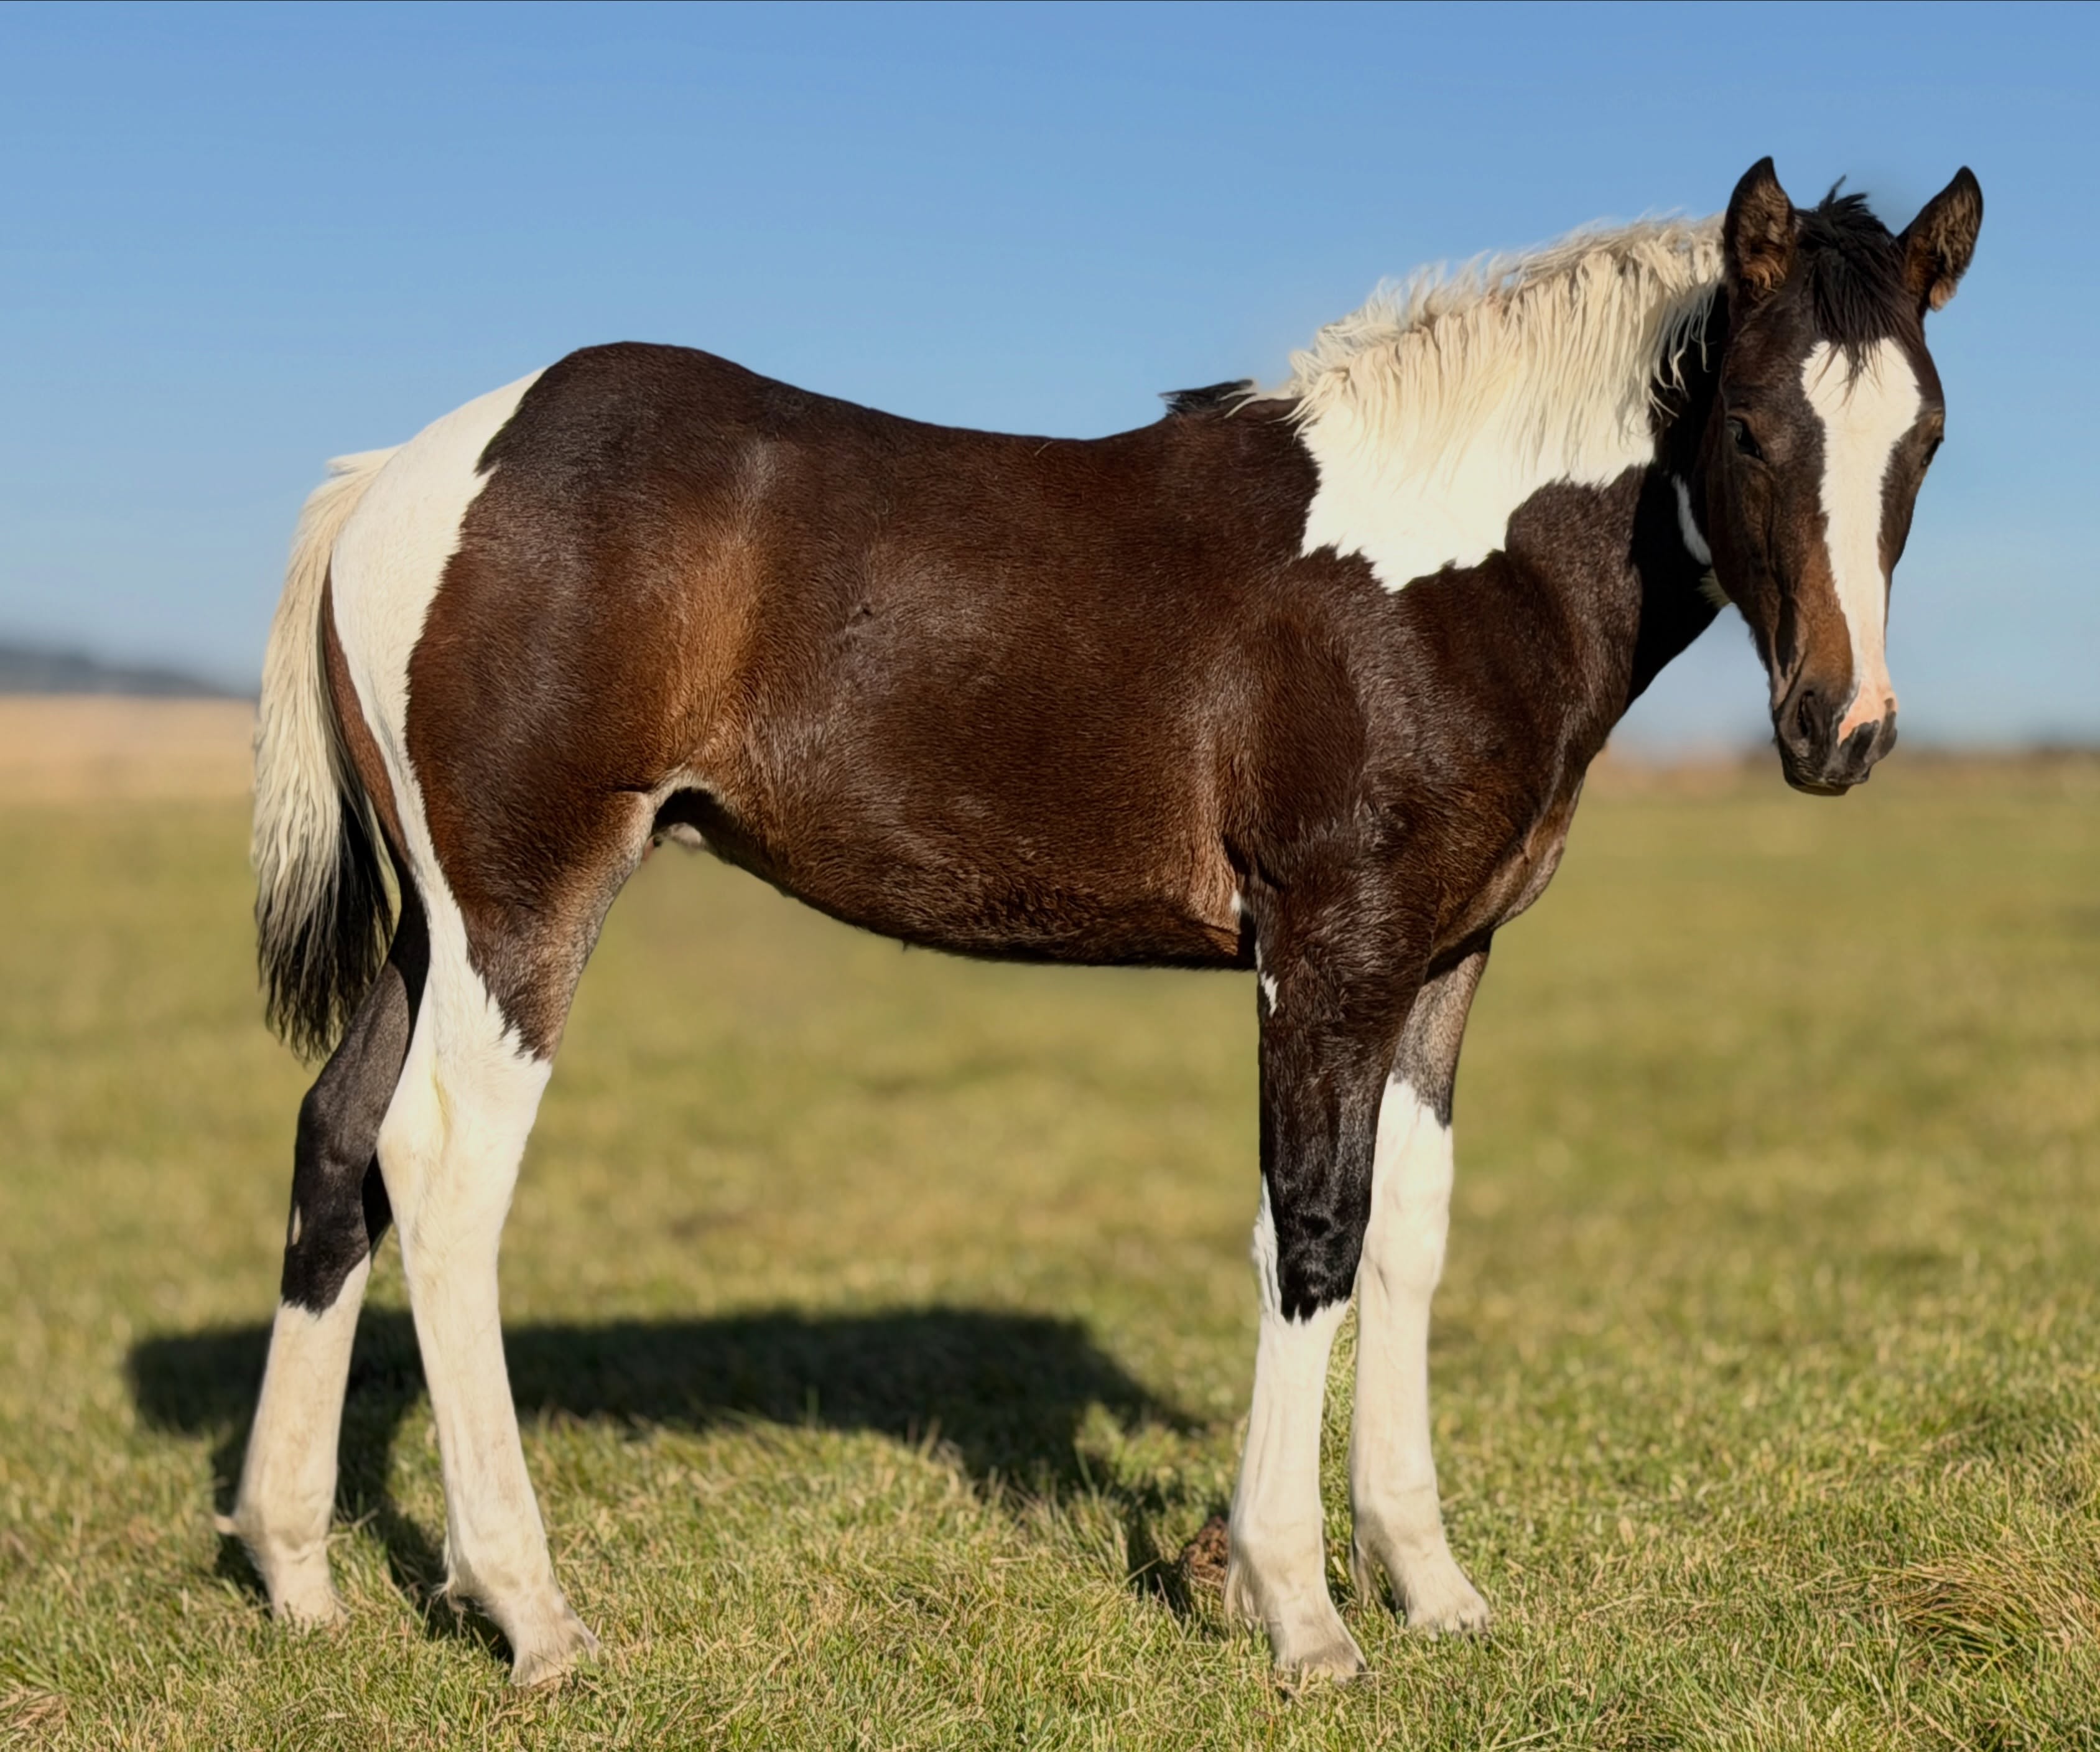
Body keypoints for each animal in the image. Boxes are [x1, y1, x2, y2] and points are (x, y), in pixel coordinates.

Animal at [221, 157, 1981, 1683]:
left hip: (436, 927)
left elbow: (1404, 1238)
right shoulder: (1327, 950)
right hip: (525, 904)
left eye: (1923, 439)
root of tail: (396, 480)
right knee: (445, 1170)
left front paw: (1431, 1588)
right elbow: (1311, 1231)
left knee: (339, 1141)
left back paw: (299, 1576)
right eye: (1746, 426)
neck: (1441, 565)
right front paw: (1299, 1614)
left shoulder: (1443, 960)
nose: (1840, 730)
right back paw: (529, 1613)